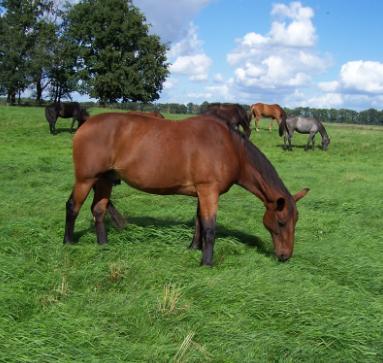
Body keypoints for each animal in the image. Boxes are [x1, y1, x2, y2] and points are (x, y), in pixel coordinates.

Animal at [63, 114, 308, 268]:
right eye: (281, 222)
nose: (285, 256)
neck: (230, 148)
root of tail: (86, 124)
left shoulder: (202, 192)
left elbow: (199, 221)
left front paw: (193, 248)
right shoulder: (209, 191)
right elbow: (209, 227)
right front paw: (207, 262)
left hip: (105, 180)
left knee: (98, 209)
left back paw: (103, 244)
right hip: (86, 179)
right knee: (73, 207)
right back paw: (68, 243)